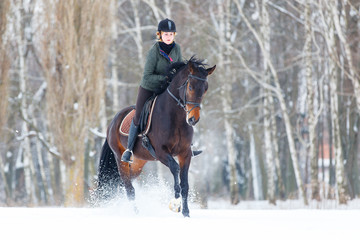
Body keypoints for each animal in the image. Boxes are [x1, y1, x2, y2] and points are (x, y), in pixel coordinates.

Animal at [95, 56, 215, 218]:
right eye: (190, 87)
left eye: (205, 88)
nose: (193, 119)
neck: (176, 118)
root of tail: (114, 120)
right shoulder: (161, 152)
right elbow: (175, 169)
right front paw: (175, 202)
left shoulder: (185, 154)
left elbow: (185, 184)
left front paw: (185, 213)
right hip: (121, 159)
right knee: (129, 188)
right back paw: (136, 213)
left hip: (138, 162)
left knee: (124, 183)